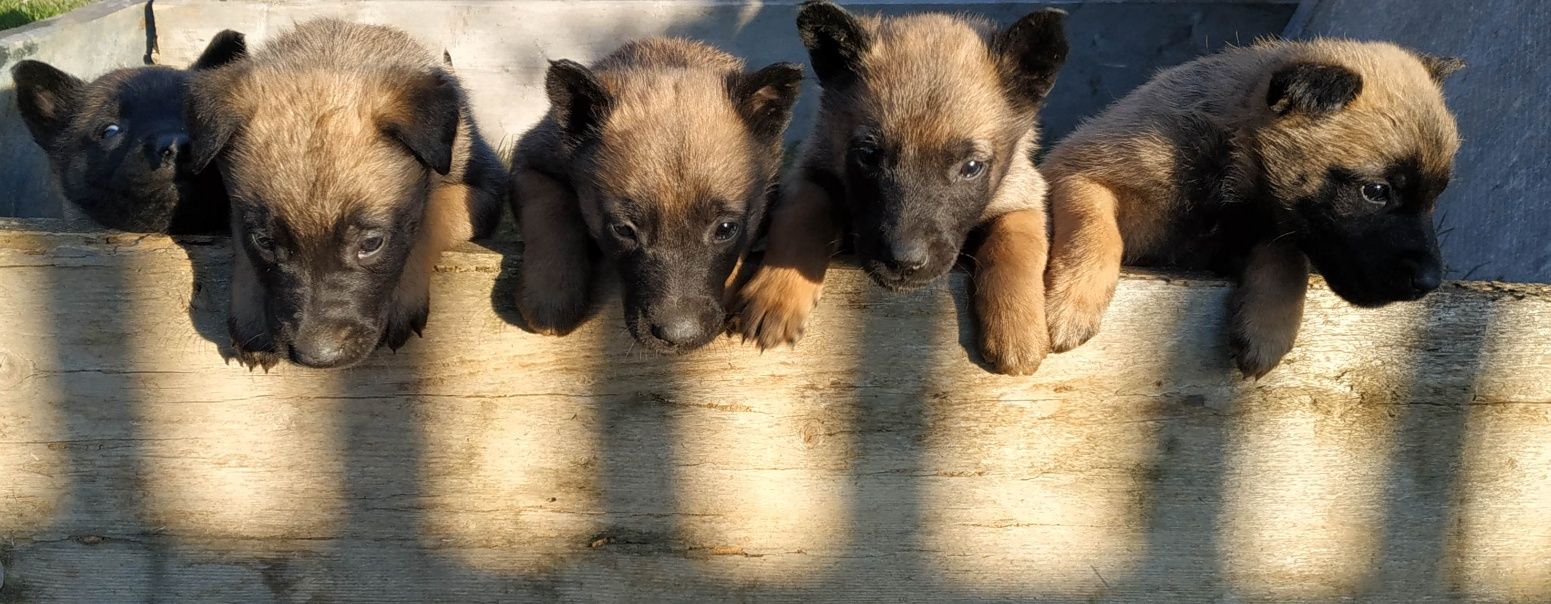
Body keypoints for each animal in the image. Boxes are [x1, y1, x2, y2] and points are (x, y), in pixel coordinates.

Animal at [185, 18, 502, 366]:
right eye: (265, 242)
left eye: (372, 243)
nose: (316, 358)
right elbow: (241, 242)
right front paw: (251, 314)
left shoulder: (485, 187)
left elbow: (431, 216)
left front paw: (403, 295)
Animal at [511, 35, 800, 350]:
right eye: (623, 230)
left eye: (726, 229)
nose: (680, 337)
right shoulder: (532, 163)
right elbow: (549, 212)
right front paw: (551, 296)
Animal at [732, 2, 1073, 374]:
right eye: (868, 155)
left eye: (971, 168)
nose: (904, 263)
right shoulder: (810, 172)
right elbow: (802, 216)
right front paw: (777, 293)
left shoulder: (1023, 192)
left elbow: (1017, 241)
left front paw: (1017, 325)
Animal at [1042, 37, 1464, 375]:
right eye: (1376, 191)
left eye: (1436, 196)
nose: (1430, 282)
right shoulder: (1076, 171)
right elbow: (1094, 228)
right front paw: (1074, 302)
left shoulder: (1257, 233)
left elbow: (1286, 254)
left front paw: (1268, 329)